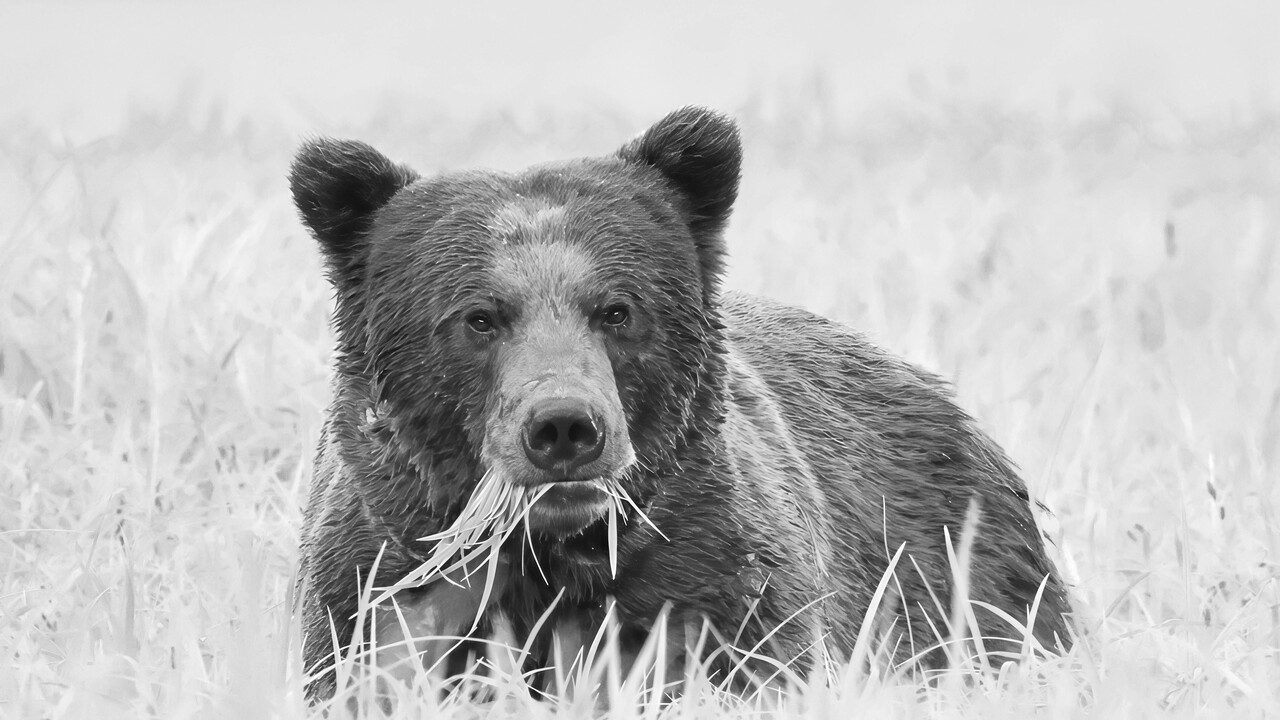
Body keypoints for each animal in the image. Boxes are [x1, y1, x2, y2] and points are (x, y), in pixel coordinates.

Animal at [290, 106, 1073, 701]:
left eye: (617, 309)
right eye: (479, 317)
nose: (565, 428)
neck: (554, 551)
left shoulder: (716, 572)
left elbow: (749, 656)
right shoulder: (381, 578)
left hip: (967, 557)